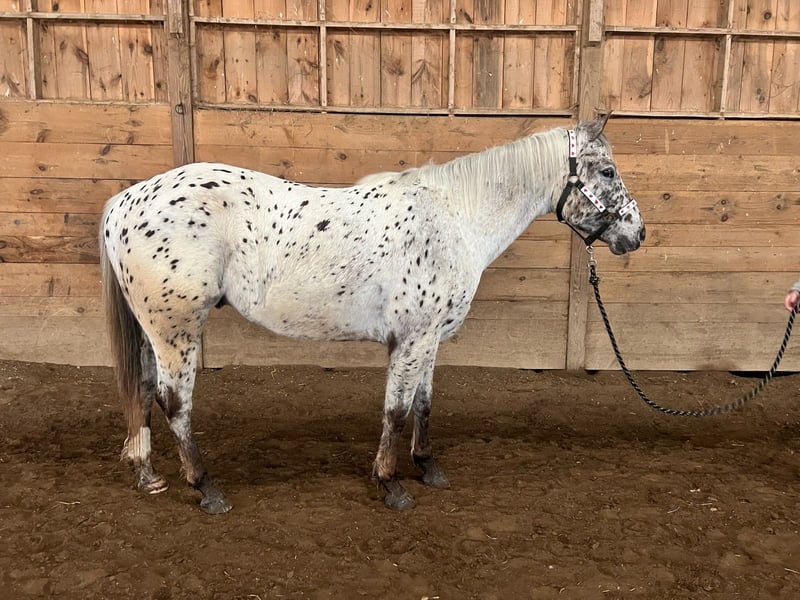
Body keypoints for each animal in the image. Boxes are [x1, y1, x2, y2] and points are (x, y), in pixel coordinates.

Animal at [100, 114, 645, 514]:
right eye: (608, 172)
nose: (636, 234)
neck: (454, 218)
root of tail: (125, 201)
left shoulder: (428, 338)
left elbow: (423, 404)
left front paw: (428, 468)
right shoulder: (412, 337)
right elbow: (396, 410)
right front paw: (391, 485)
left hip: (153, 332)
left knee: (143, 391)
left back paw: (149, 476)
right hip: (176, 330)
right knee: (174, 402)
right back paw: (206, 488)